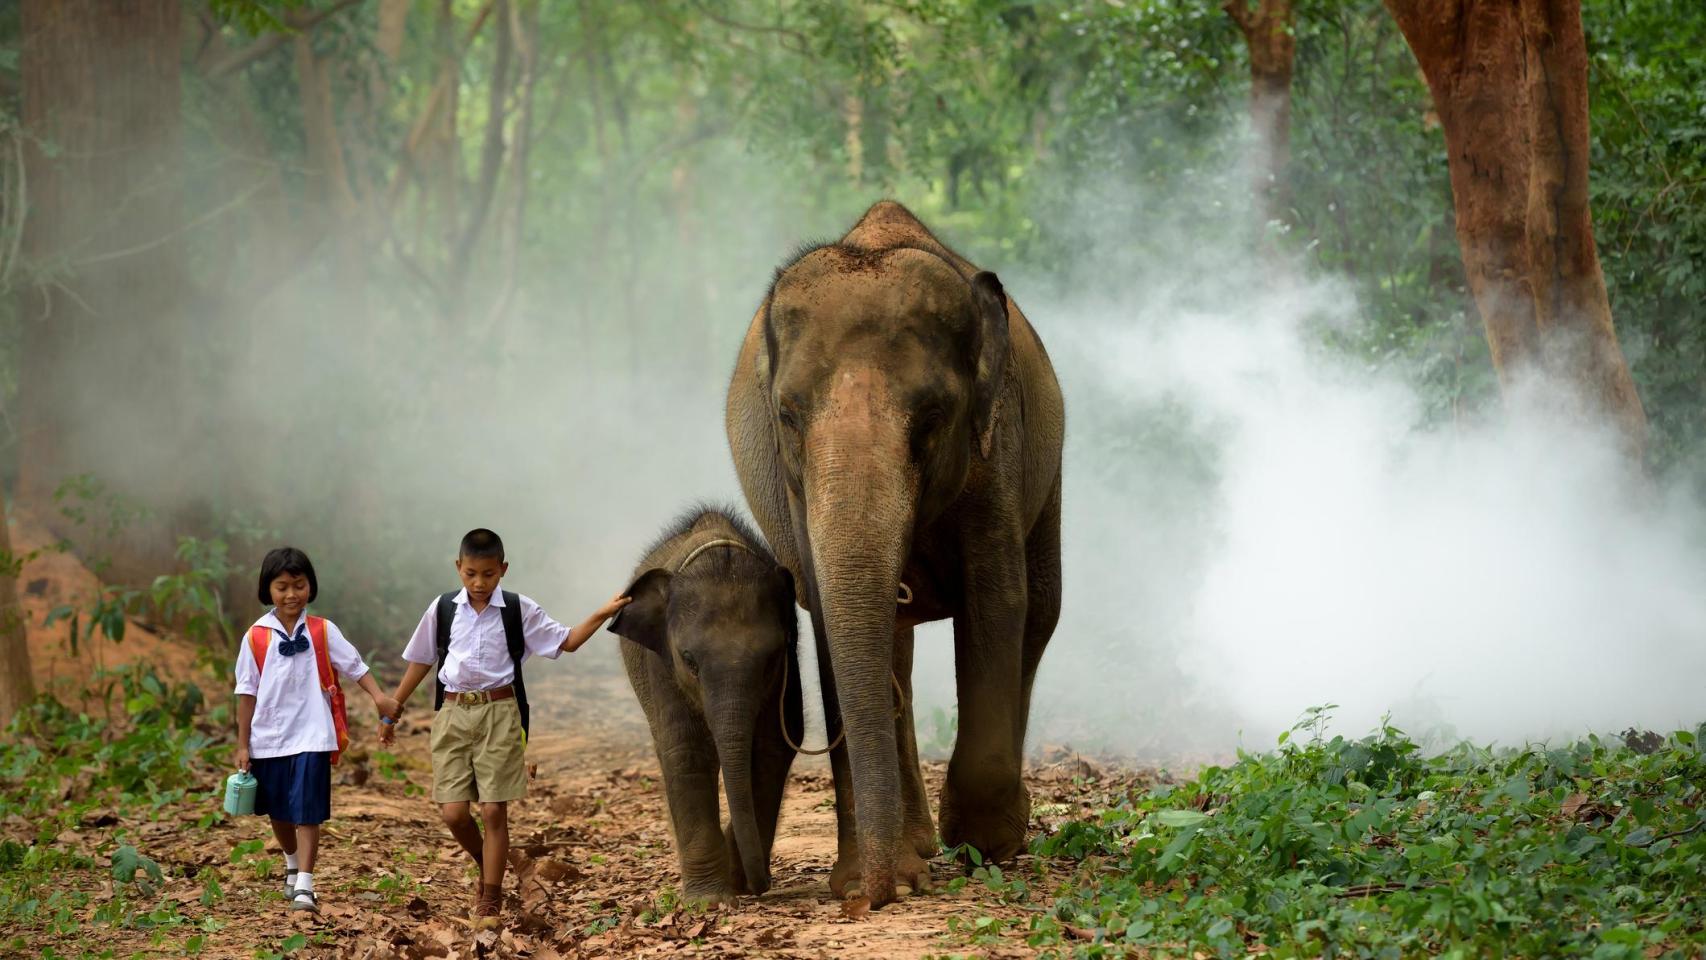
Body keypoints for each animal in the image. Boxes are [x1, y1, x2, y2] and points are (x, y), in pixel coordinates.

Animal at [609, 507, 805, 905]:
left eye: (771, 659)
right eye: (689, 660)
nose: (760, 885)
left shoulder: (788, 667)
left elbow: (774, 747)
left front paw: (734, 881)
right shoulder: (661, 663)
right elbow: (687, 751)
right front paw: (708, 901)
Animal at [725, 201, 1065, 907]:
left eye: (933, 416)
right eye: (787, 415)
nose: (870, 899)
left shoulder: (997, 449)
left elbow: (998, 602)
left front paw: (984, 846)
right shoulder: (794, 488)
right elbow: (830, 619)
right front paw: (870, 875)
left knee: (1041, 612)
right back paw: (918, 848)